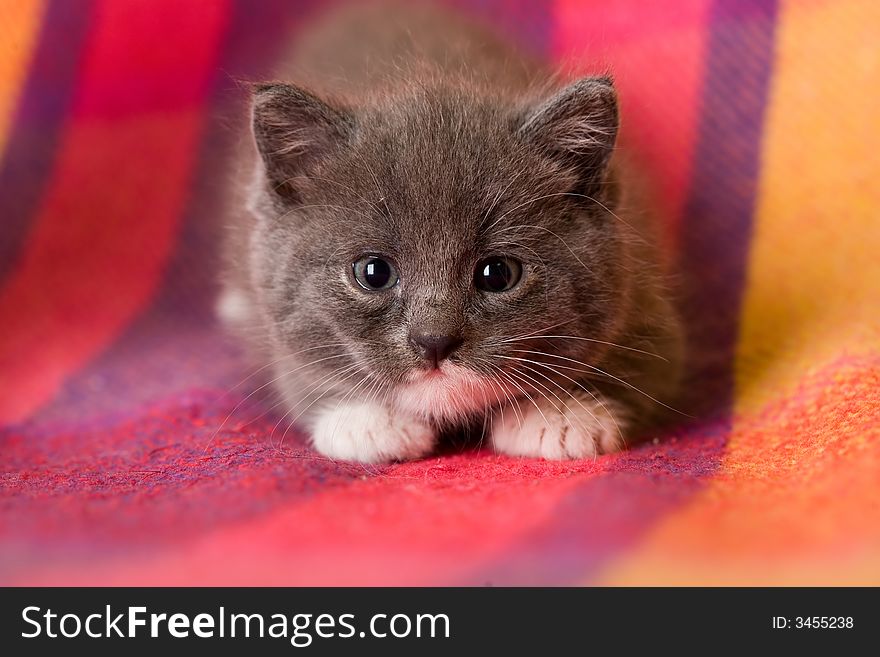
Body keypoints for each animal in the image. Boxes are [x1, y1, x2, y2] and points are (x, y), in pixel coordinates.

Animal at [218, 1, 680, 462]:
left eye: (498, 273)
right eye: (373, 272)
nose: (434, 340)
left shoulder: (646, 292)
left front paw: (562, 413)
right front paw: (365, 420)